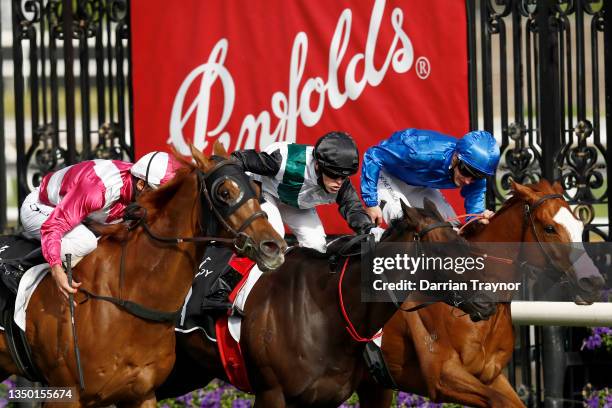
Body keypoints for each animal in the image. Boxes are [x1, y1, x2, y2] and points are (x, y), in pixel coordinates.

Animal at [0, 145, 286, 406]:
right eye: (224, 192)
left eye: (257, 191)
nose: (274, 246)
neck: (126, 298)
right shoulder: (65, 393)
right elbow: (57, 225)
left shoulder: (142, 393)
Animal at [157, 198, 498, 404]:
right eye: (444, 250)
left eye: (464, 242)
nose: (488, 301)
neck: (327, 313)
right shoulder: (271, 393)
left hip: (184, 371)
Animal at [356, 180, 604, 408]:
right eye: (549, 228)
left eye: (579, 224)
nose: (593, 281)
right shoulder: (443, 376)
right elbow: (498, 401)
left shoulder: (491, 375)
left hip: (374, 386)